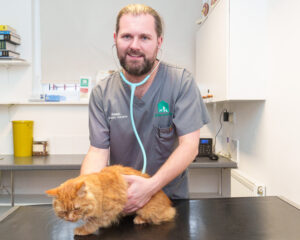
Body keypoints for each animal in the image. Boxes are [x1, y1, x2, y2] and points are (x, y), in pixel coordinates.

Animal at [44, 166, 176, 235]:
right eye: (63, 212)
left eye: (77, 209)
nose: (70, 219)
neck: (100, 190)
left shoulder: (110, 210)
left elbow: (94, 222)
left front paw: (83, 229)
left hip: (148, 210)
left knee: (166, 215)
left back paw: (140, 219)